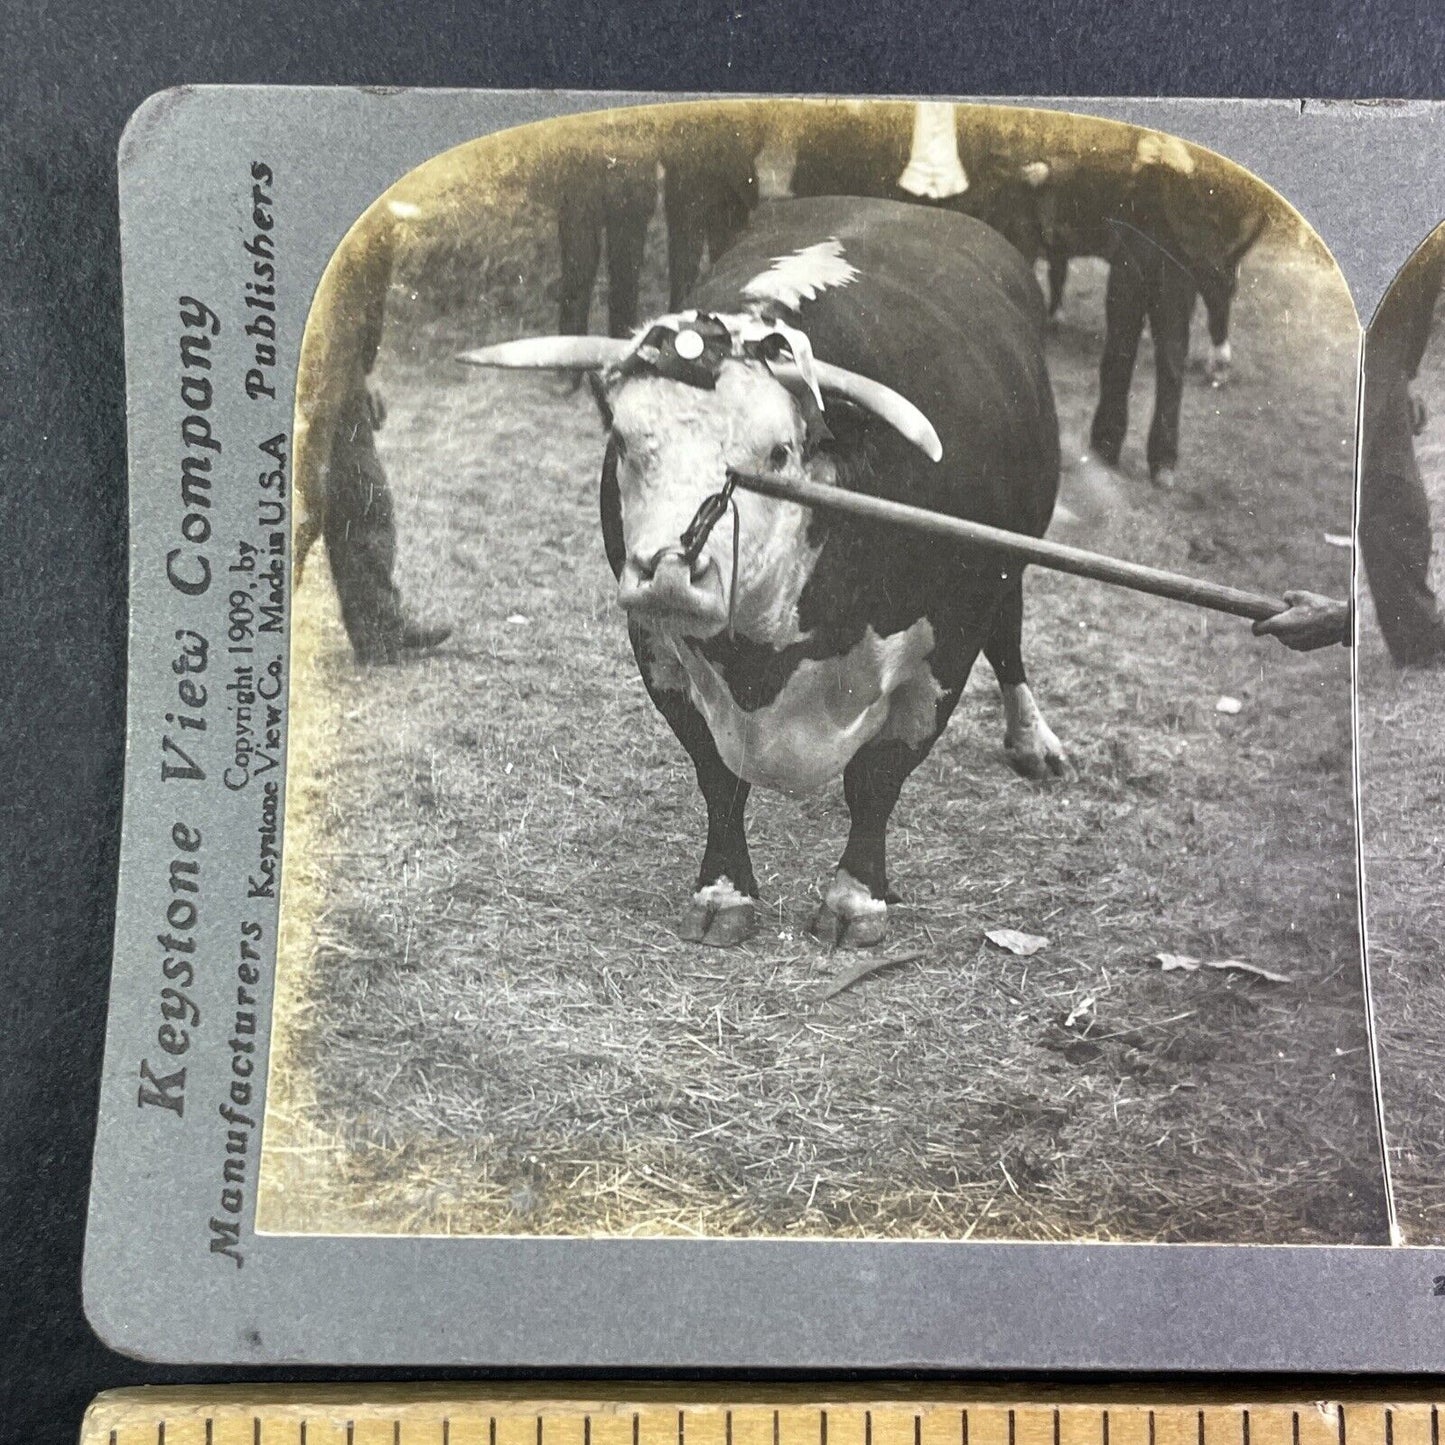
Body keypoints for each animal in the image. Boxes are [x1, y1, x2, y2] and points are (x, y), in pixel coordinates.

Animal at [459, 197, 1063, 953]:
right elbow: (717, 776)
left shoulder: (948, 640)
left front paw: (855, 897)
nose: (668, 574)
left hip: (1014, 561)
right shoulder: (656, 646)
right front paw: (724, 890)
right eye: (622, 441)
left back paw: (1032, 739)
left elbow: (878, 777)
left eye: (777, 453)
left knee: (1009, 637)